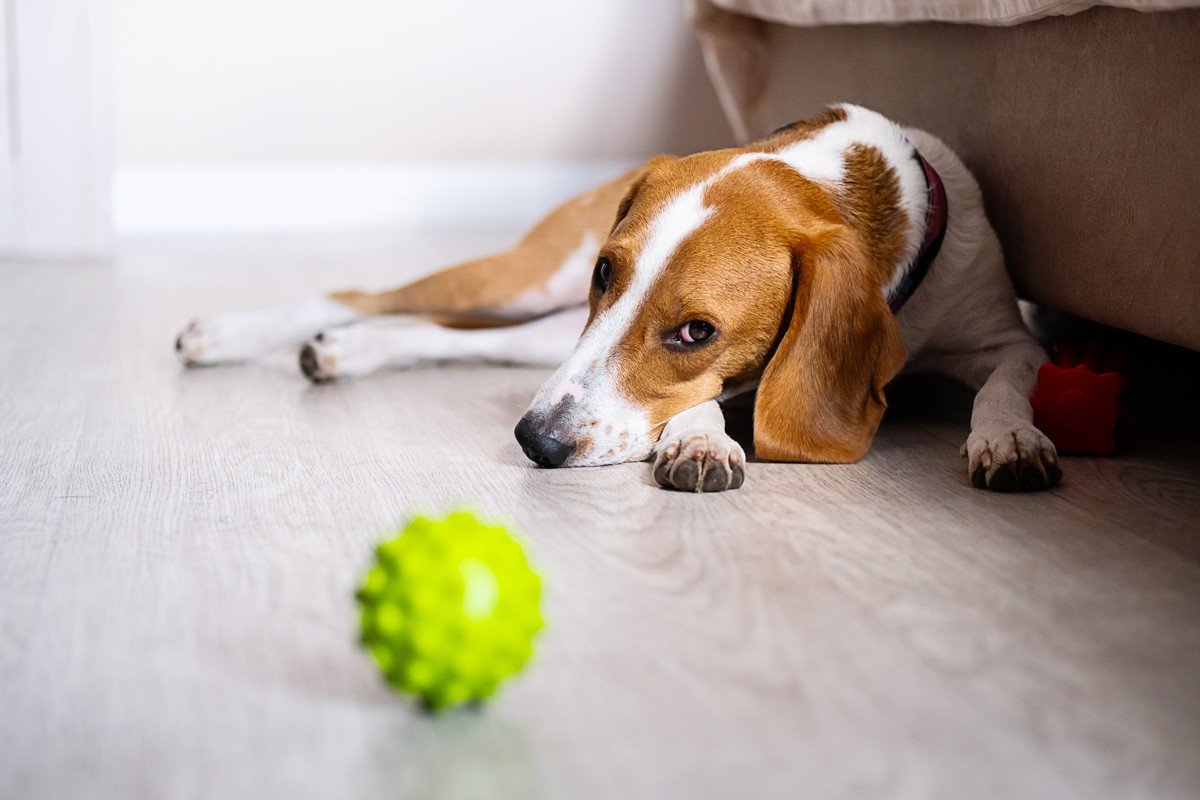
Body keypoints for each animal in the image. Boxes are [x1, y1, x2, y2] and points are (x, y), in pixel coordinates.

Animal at [175, 104, 1060, 494]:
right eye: (607, 270)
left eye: (696, 331)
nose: (533, 441)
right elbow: (699, 407)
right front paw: (702, 439)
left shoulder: (1007, 334)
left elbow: (1011, 381)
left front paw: (1010, 438)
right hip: (532, 284)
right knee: (361, 292)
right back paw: (228, 335)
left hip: (547, 334)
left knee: (440, 331)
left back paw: (348, 351)